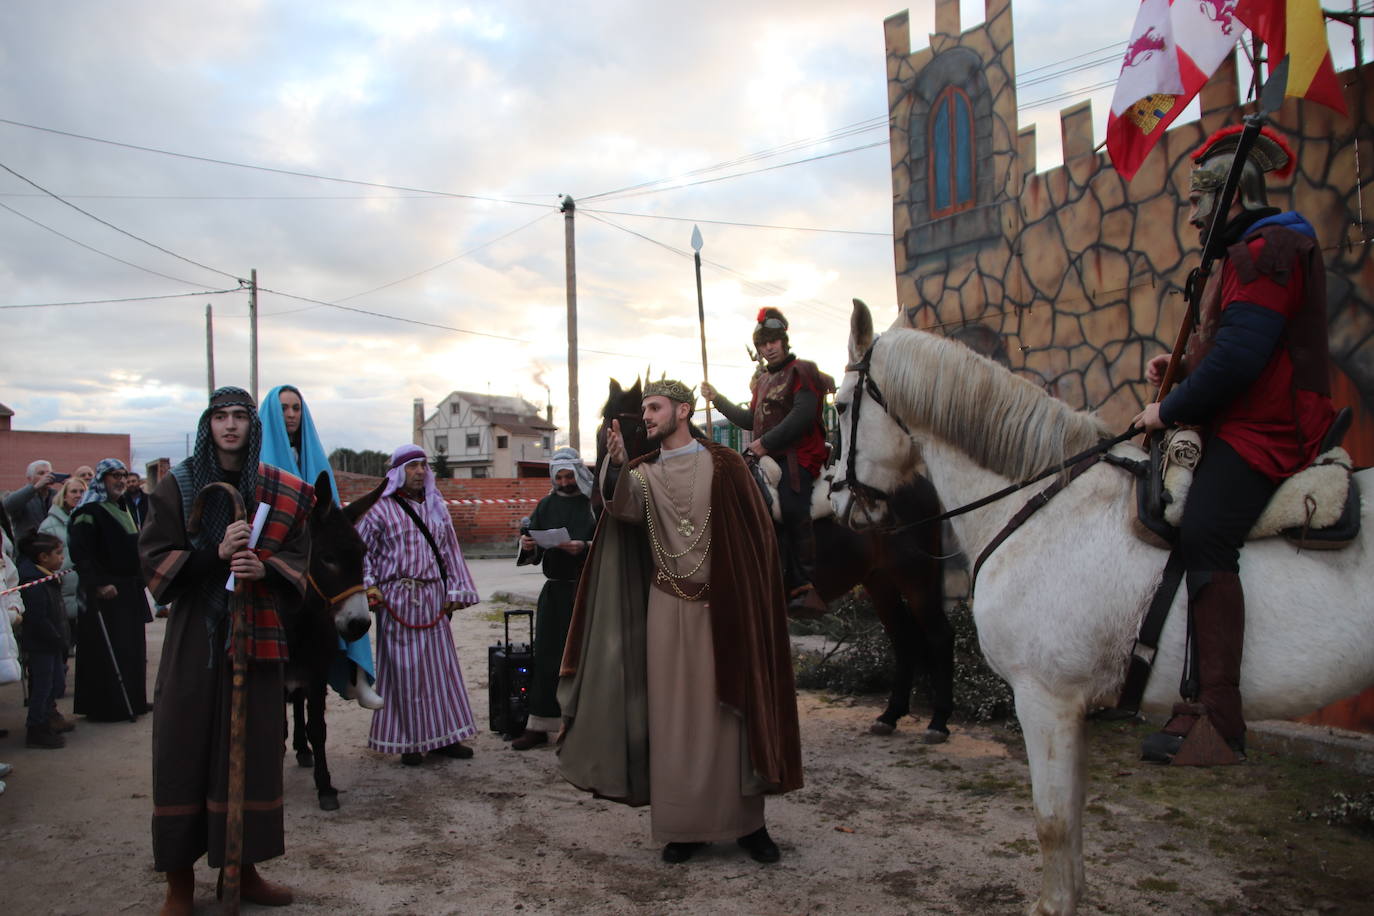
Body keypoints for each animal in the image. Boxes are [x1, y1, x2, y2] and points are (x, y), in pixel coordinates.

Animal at [596, 376, 950, 741]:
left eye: (639, 427)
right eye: (602, 430)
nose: (599, 500)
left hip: (916, 574)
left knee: (939, 634)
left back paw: (938, 721)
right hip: (879, 581)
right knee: (904, 638)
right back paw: (891, 715)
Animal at [824, 300, 1374, 916]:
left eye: (840, 406)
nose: (839, 501)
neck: (1042, 505)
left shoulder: (1045, 700)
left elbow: (1052, 824)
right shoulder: (1072, 708)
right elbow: (1072, 825)